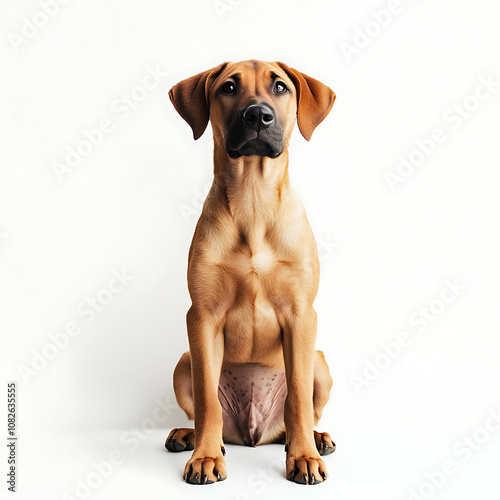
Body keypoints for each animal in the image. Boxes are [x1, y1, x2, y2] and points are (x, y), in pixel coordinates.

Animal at [165, 58, 336, 484]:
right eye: (228, 87)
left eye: (280, 86)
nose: (258, 115)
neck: (254, 201)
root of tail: (254, 433)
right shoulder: (202, 317)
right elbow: (207, 399)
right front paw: (206, 457)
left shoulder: (302, 316)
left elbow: (298, 400)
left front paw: (304, 456)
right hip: (183, 362)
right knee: (206, 411)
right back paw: (190, 436)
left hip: (320, 361)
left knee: (302, 412)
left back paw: (314, 439)